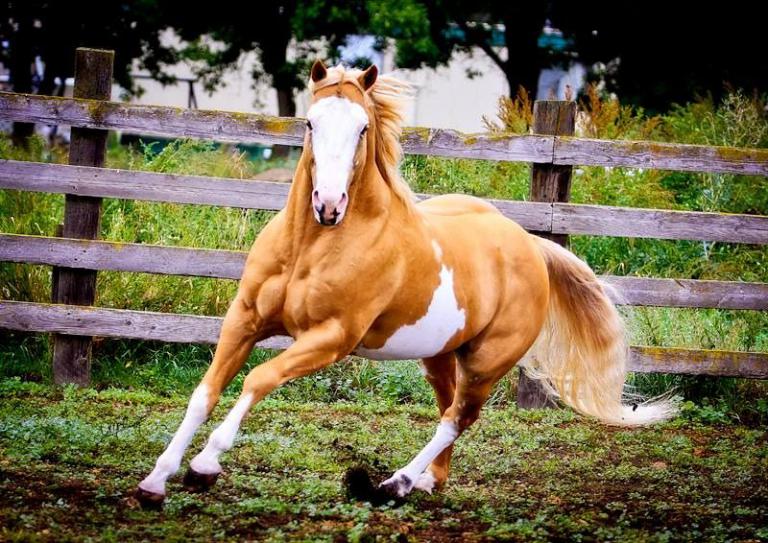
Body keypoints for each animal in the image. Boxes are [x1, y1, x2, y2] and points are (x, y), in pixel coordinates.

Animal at [135, 61, 676, 507]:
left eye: (362, 127)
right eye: (310, 123)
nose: (328, 205)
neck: (312, 249)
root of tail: (530, 245)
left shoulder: (329, 338)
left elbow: (258, 379)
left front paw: (205, 466)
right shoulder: (244, 321)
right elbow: (204, 393)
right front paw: (155, 482)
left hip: (488, 361)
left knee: (458, 417)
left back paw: (394, 483)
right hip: (440, 354)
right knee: (447, 409)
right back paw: (427, 482)